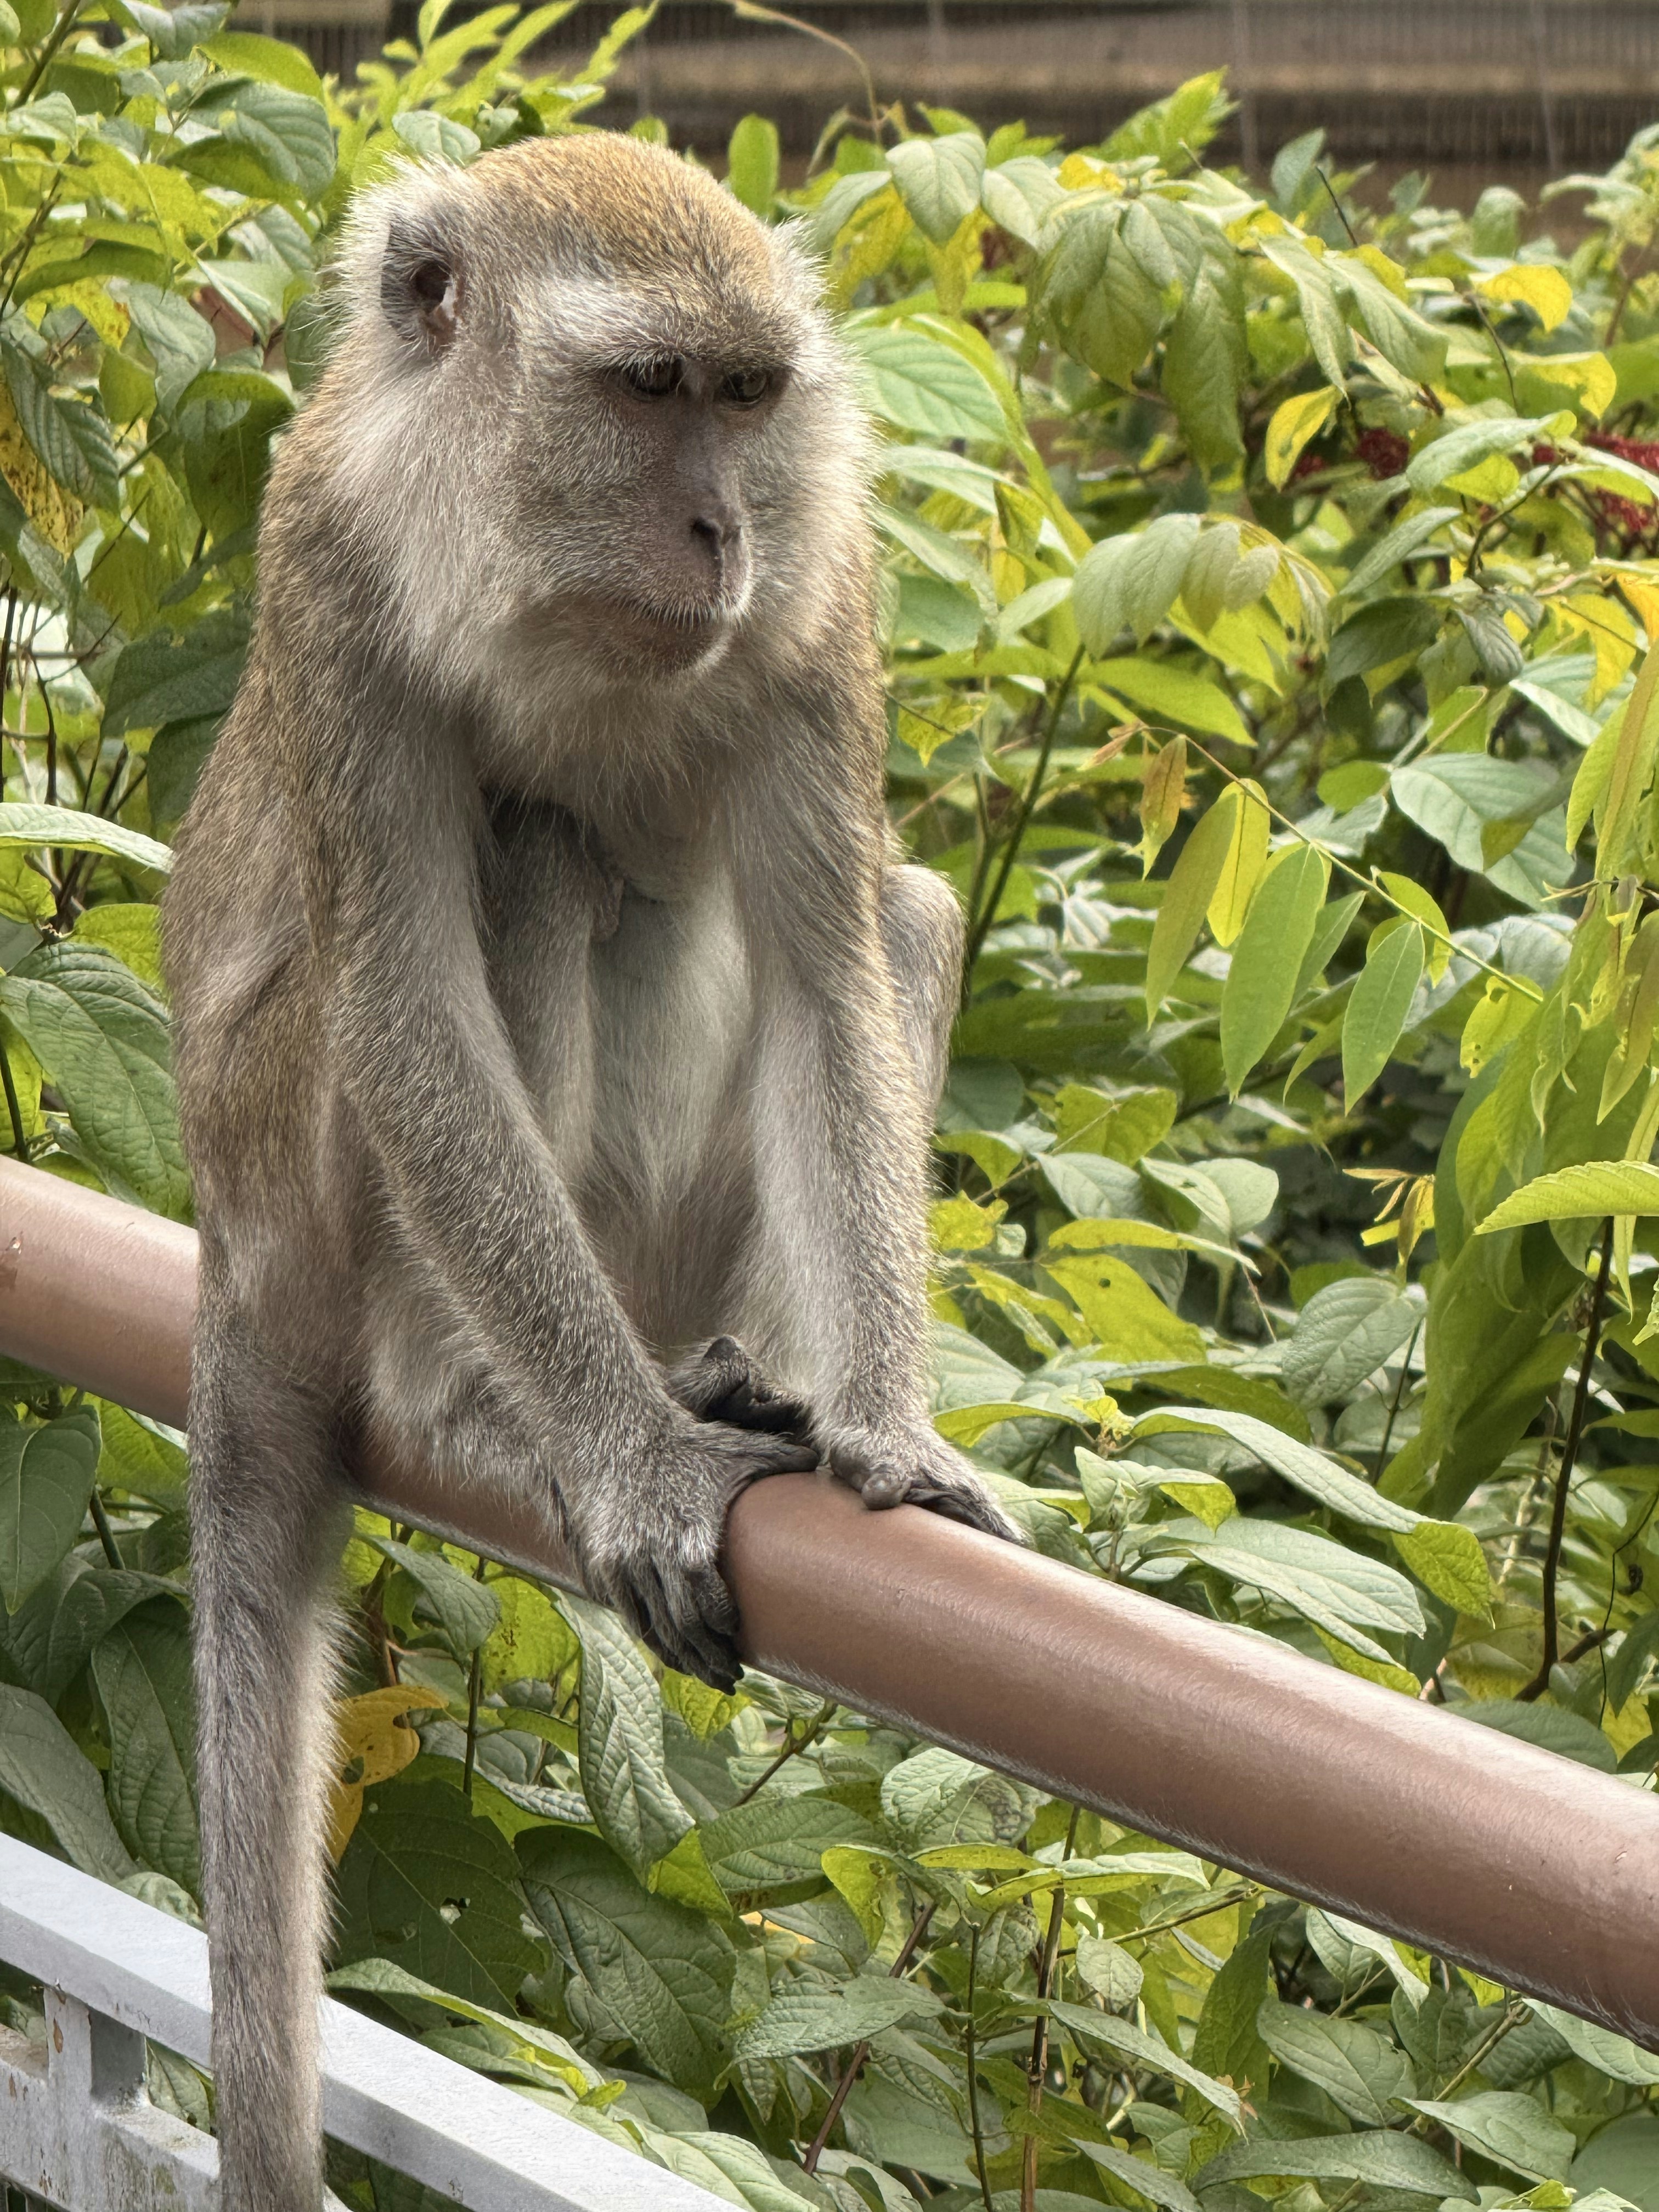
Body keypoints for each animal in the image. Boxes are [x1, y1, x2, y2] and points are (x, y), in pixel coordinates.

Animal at [161, 131, 1021, 2211]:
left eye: (746, 398)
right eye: (643, 392)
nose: (717, 534)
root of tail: (221, 1242)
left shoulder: (827, 584)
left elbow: (830, 973)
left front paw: (888, 1433)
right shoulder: (325, 562)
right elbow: (407, 989)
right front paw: (629, 1462)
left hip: (649, 1248)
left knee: (893, 910)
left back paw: (727, 1370)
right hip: (296, 1178)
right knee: (528, 854)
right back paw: (479, 1393)